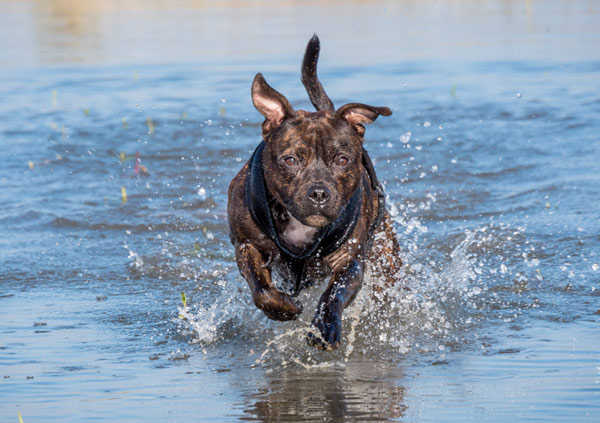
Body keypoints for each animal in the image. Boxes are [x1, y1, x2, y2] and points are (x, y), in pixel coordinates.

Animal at [227, 34, 400, 352]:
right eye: (291, 160)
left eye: (342, 160)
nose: (319, 192)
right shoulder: (246, 245)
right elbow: (260, 288)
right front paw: (284, 307)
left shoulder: (349, 260)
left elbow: (334, 293)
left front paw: (324, 325)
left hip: (386, 261)